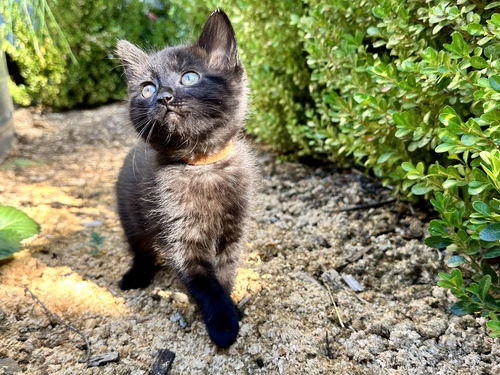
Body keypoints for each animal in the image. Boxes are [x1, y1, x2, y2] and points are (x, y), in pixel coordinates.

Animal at [116, 9, 254, 350]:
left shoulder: (233, 231)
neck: (200, 167)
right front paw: (222, 323)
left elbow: (224, 273)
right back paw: (136, 276)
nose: (164, 97)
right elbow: (205, 283)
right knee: (140, 249)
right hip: (131, 219)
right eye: (147, 88)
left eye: (189, 77)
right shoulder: (179, 234)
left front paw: (232, 306)